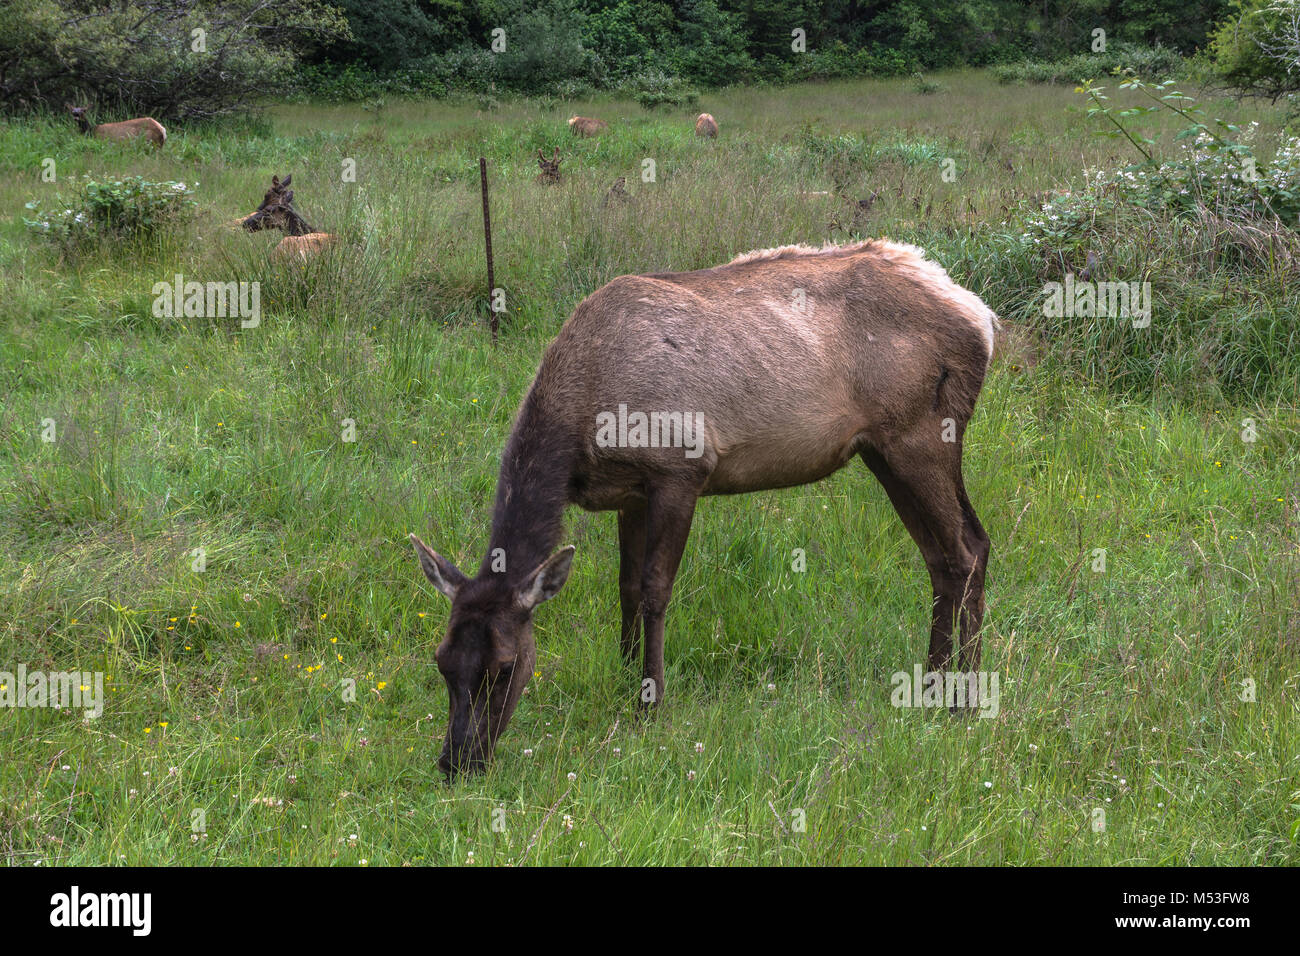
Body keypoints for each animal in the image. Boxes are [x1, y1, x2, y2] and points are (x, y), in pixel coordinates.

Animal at [410, 238, 998, 780]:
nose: (455, 761)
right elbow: (625, 586)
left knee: (968, 547)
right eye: (441, 662)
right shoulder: (630, 492)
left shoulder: (681, 466)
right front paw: (624, 676)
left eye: (506, 667)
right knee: (945, 555)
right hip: (883, 447)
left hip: (919, 434)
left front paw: (649, 704)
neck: (584, 423)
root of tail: (984, 319)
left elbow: (654, 590)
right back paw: (933, 682)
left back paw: (961, 701)